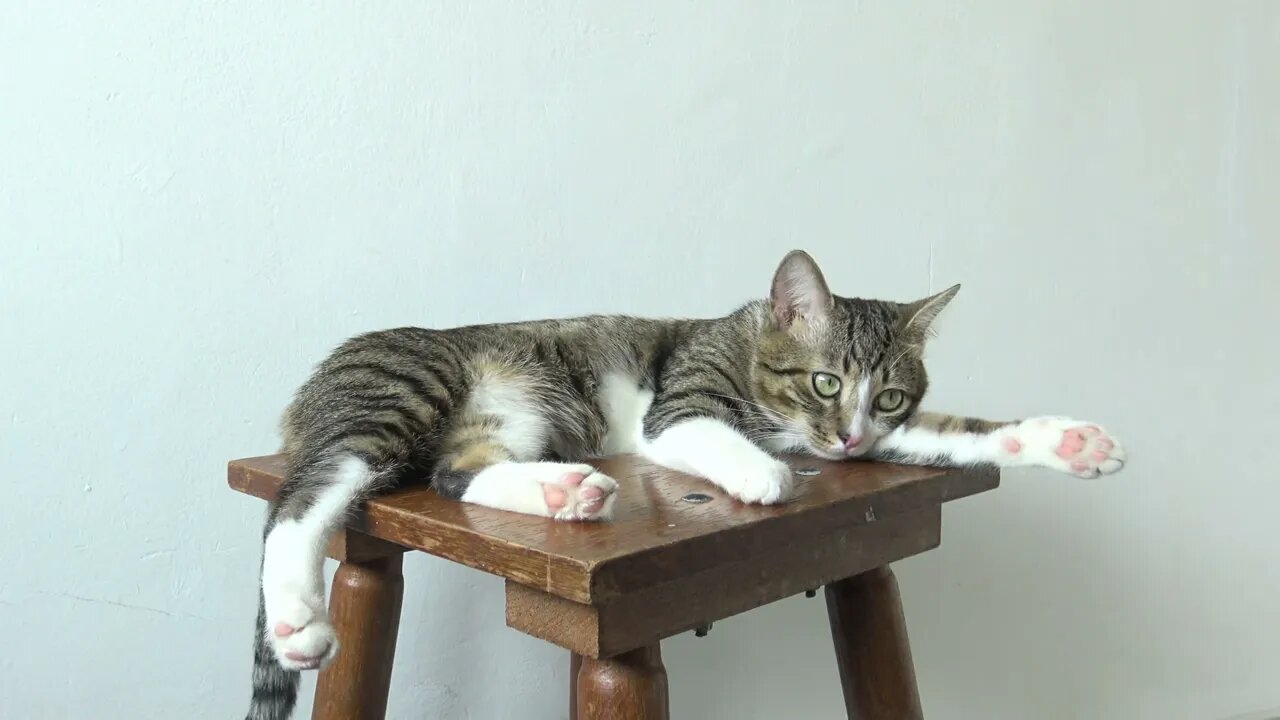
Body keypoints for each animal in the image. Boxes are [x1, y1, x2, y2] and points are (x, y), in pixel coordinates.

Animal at [244, 248, 1126, 717]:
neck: (748, 344)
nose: (847, 437)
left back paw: (565, 492)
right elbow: (712, 435)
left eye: (889, 396)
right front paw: (769, 477)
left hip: (506, 420)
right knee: (306, 495)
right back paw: (298, 619)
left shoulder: (885, 436)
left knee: (458, 474)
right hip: (398, 387)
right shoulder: (681, 405)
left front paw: (1068, 440)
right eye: (825, 382)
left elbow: (953, 431)